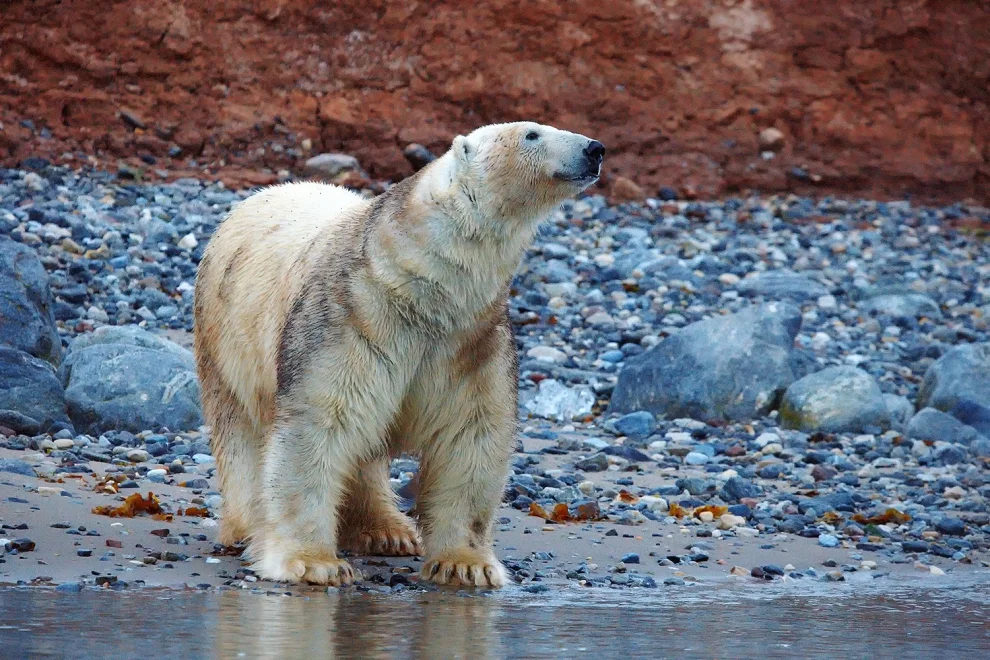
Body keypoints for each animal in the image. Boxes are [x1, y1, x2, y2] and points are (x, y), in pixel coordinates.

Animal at [194, 121, 604, 584]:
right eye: (532, 134)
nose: (595, 149)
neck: (419, 289)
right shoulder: (351, 318)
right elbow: (318, 424)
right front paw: (313, 563)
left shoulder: (473, 339)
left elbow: (472, 435)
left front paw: (467, 564)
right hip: (223, 341)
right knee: (242, 433)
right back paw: (249, 527)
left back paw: (388, 531)